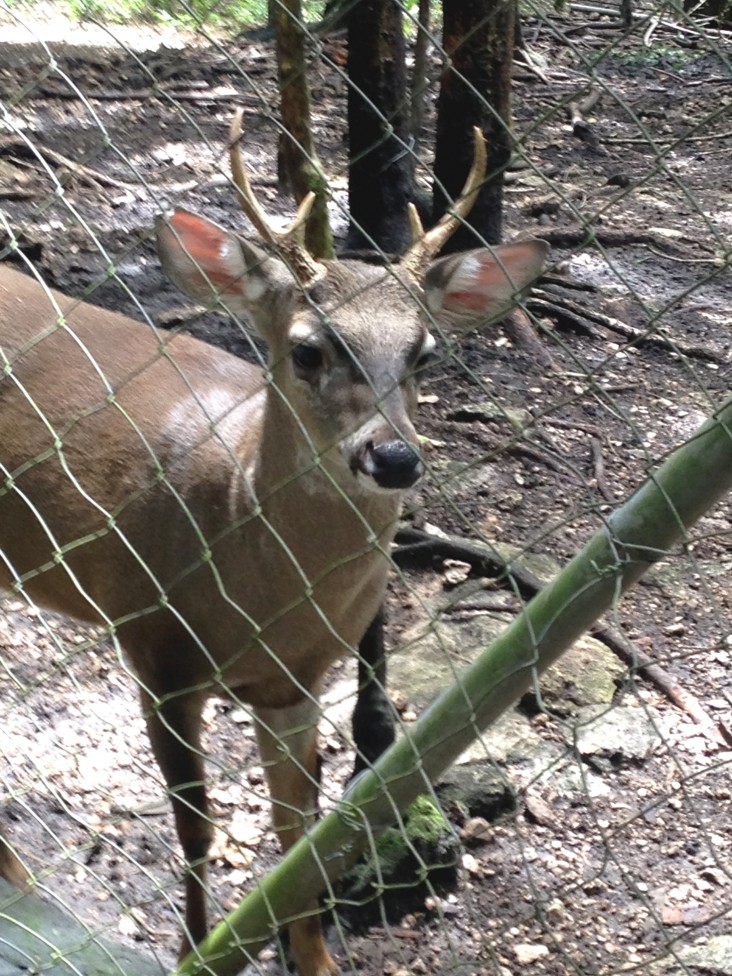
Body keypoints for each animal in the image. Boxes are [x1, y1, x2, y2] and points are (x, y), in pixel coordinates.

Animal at [0, 108, 548, 976]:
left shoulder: (300, 679)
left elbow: (298, 835)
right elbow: (195, 827)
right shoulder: (155, 646)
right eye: (307, 347)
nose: (393, 456)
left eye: (424, 352)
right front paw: (194, 951)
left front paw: (312, 958)